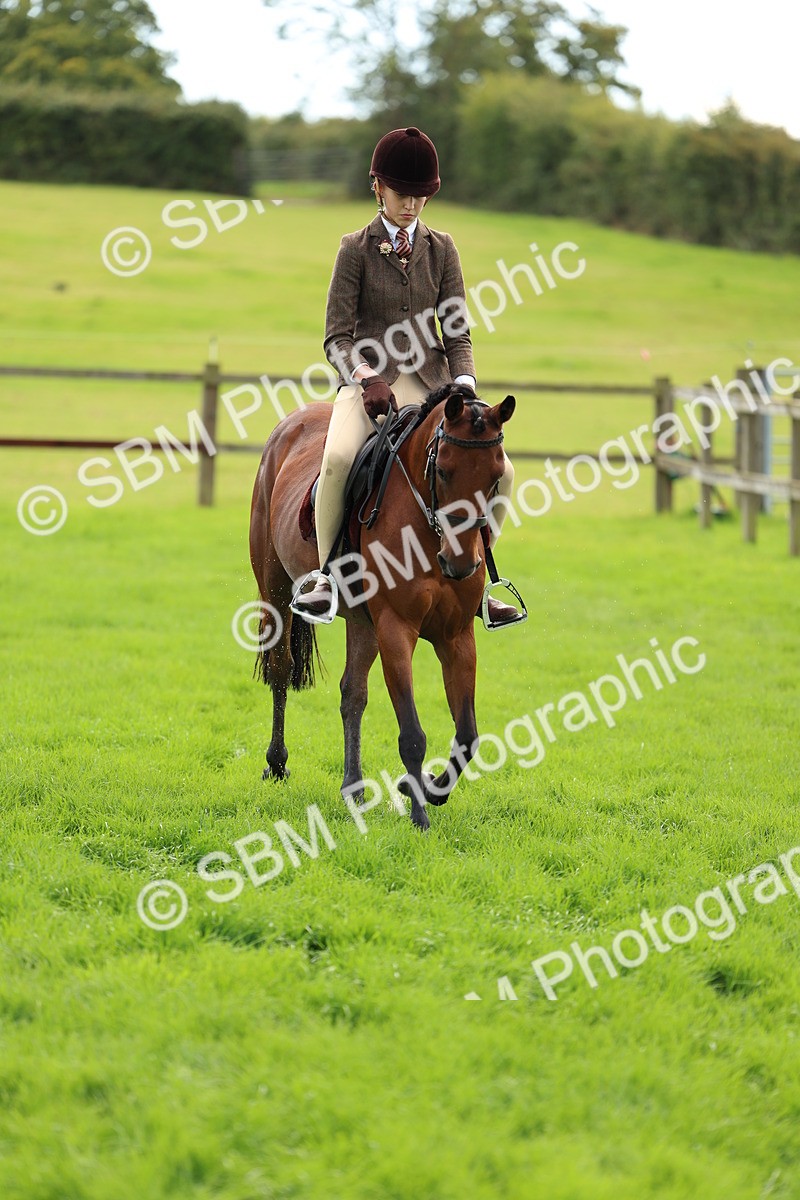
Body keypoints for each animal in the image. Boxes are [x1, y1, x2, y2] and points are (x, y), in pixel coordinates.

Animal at [248, 382, 516, 831]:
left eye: (496, 478)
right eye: (443, 471)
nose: (461, 564)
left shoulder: (456, 636)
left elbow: (467, 735)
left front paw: (430, 788)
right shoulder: (396, 627)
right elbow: (412, 733)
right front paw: (419, 813)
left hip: (361, 621)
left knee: (352, 693)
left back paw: (353, 789)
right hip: (276, 589)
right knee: (282, 669)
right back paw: (278, 763)